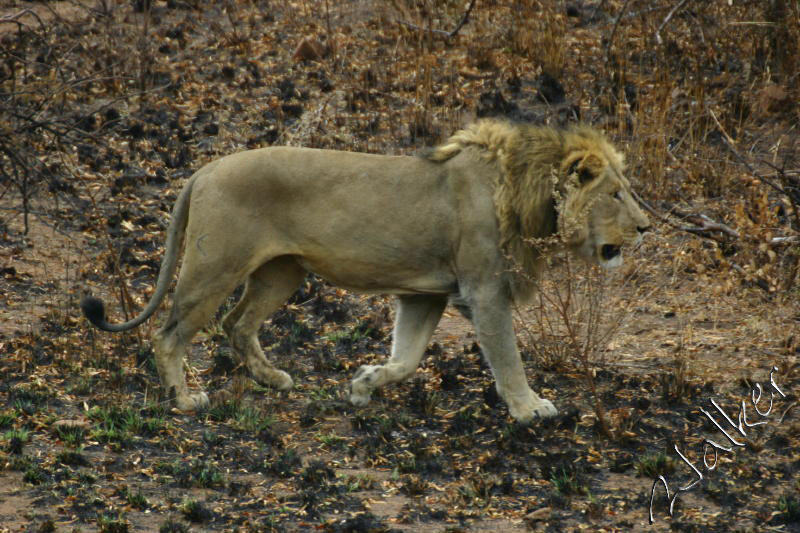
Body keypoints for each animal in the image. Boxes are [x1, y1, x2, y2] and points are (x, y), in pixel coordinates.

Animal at [81, 118, 648, 422]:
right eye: (615, 194)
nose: (646, 227)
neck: (526, 192)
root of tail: (204, 169)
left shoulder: (426, 293)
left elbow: (408, 358)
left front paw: (362, 384)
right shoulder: (485, 291)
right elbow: (508, 360)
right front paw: (530, 409)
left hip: (283, 272)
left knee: (238, 324)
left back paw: (273, 379)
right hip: (213, 266)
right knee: (170, 333)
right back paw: (184, 399)